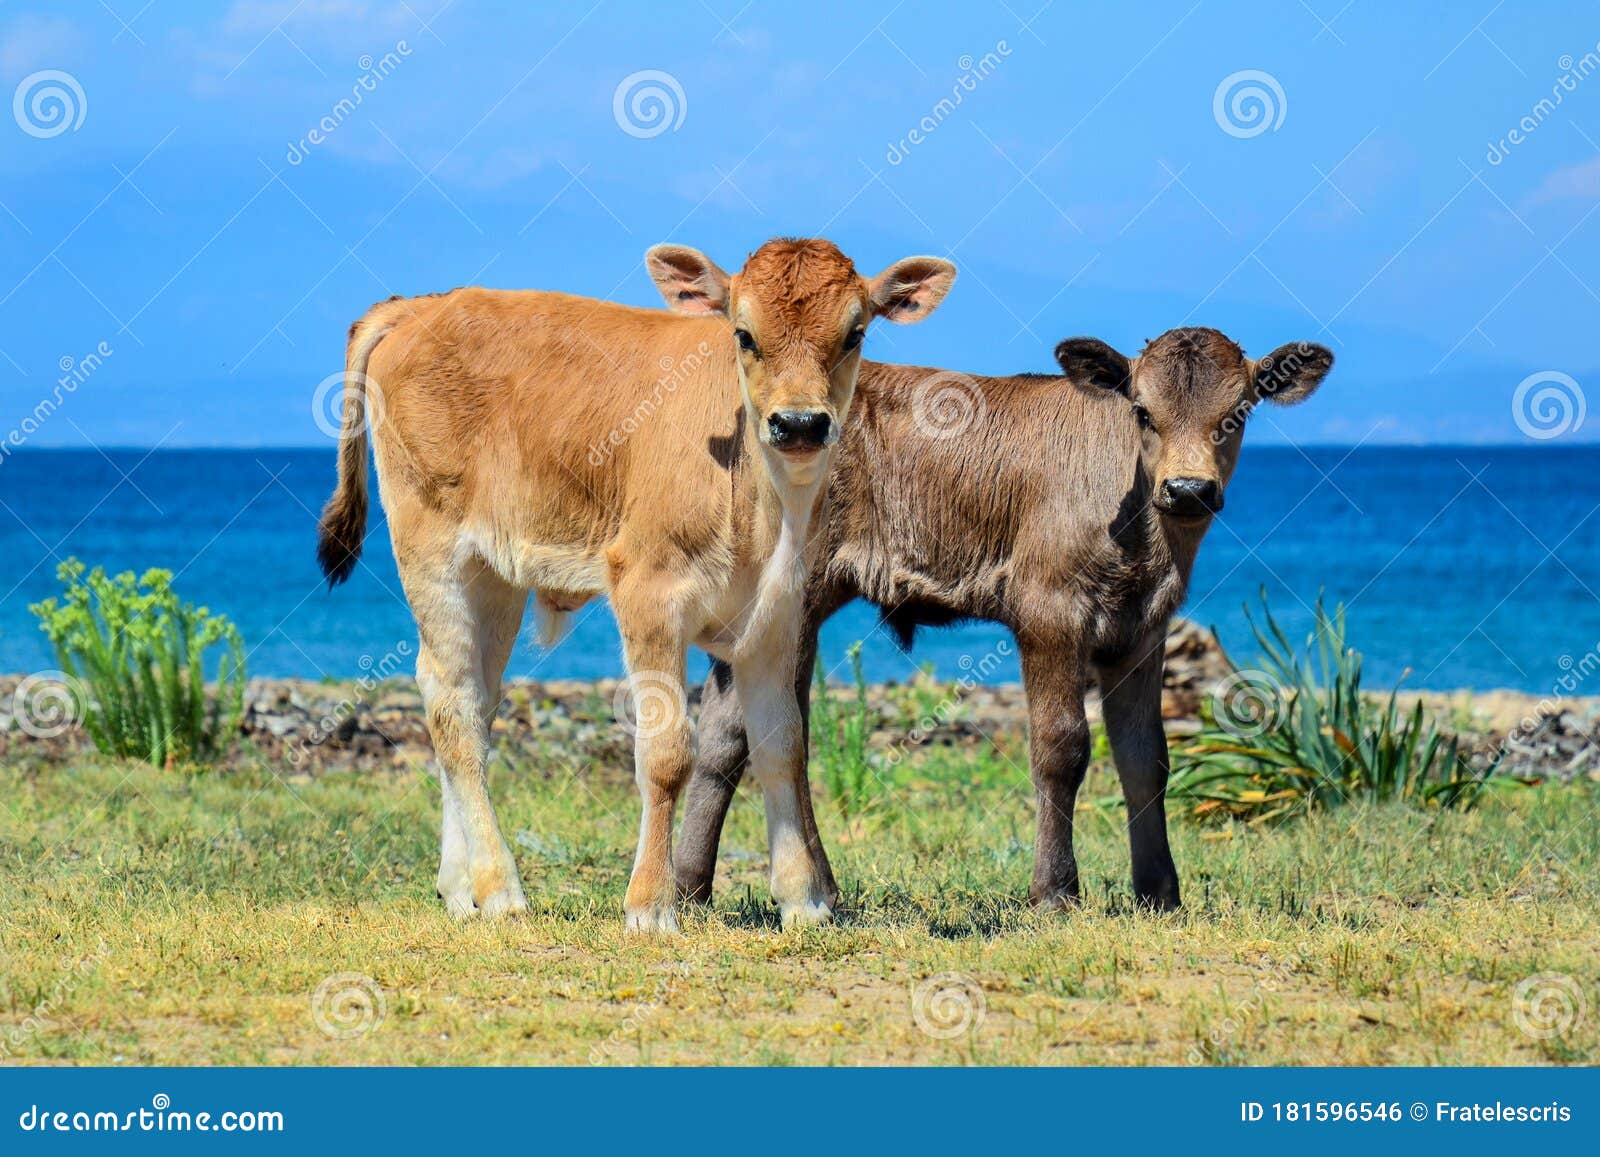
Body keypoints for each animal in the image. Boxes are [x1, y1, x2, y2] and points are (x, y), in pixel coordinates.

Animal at [318, 241, 953, 934]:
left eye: (854, 333)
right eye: (744, 335)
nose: (801, 423)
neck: (756, 508)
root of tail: (420, 306)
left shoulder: (779, 616)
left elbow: (783, 746)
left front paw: (804, 901)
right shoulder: (650, 595)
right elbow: (668, 754)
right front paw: (650, 905)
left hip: (496, 574)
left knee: (467, 698)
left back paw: (461, 889)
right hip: (432, 548)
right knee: (453, 708)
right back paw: (501, 889)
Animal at [668, 328, 1331, 915]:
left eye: (1239, 412)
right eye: (1142, 411)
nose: (1189, 488)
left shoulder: (1143, 629)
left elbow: (1147, 758)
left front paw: (1160, 894)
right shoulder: (1049, 609)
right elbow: (1062, 747)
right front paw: (1056, 892)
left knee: (743, 728)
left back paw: (698, 887)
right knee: (764, 729)